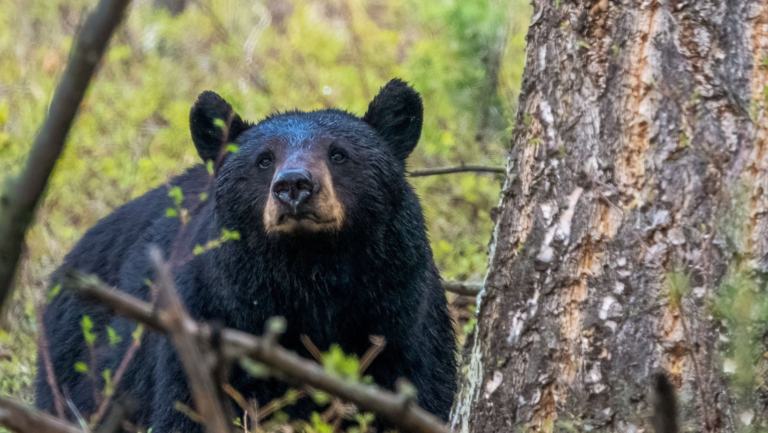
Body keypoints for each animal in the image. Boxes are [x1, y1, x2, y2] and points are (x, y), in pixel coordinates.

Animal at [36, 79, 456, 430]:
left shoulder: (401, 312)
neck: (311, 272)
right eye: (264, 159)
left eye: (339, 154)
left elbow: (423, 387)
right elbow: (187, 407)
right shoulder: (210, 313)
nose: (294, 185)